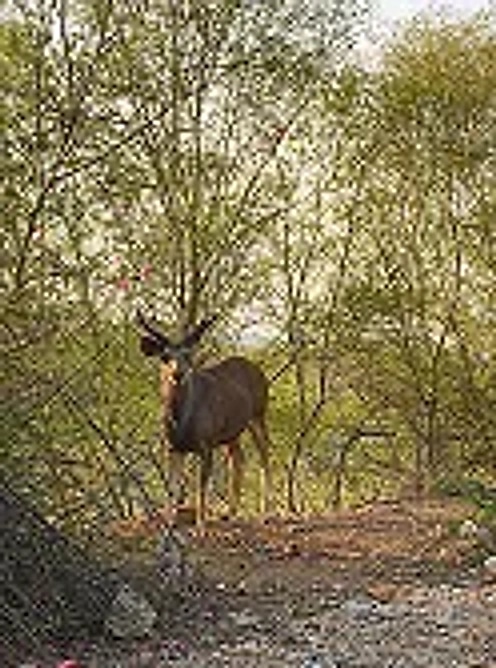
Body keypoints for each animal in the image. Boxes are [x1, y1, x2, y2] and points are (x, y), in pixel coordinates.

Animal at [137, 311, 272, 528]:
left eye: (188, 355)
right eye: (165, 356)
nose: (177, 374)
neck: (182, 422)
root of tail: (258, 370)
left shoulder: (206, 445)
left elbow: (200, 487)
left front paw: (201, 525)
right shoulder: (173, 447)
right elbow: (173, 487)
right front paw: (170, 522)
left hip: (259, 414)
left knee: (264, 454)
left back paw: (265, 513)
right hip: (232, 431)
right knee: (238, 456)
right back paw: (229, 512)